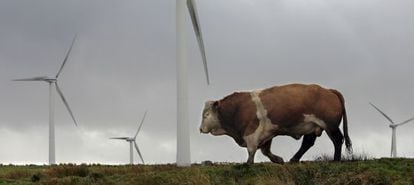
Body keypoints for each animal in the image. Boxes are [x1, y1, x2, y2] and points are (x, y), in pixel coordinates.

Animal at [201, 83, 352, 163]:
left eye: (206, 115)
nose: (201, 129)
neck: (237, 108)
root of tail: (329, 90)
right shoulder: (268, 133)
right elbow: (266, 151)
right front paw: (278, 159)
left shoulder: (252, 132)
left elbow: (252, 150)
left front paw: (248, 164)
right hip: (313, 126)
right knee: (307, 143)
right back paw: (293, 160)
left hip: (330, 126)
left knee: (338, 140)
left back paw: (336, 160)